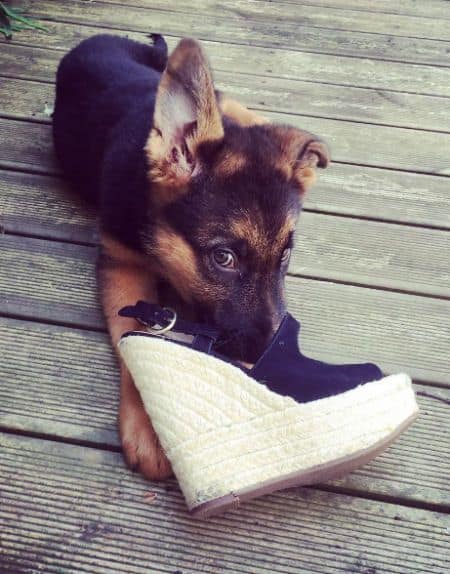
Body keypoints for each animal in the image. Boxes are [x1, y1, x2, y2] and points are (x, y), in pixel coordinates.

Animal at [52, 35, 328, 482]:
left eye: (286, 254)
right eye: (224, 258)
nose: (263, 364)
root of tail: (104, 37)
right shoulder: (121, 264)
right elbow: (133, 334)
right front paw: (150, 421)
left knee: (231, 103)